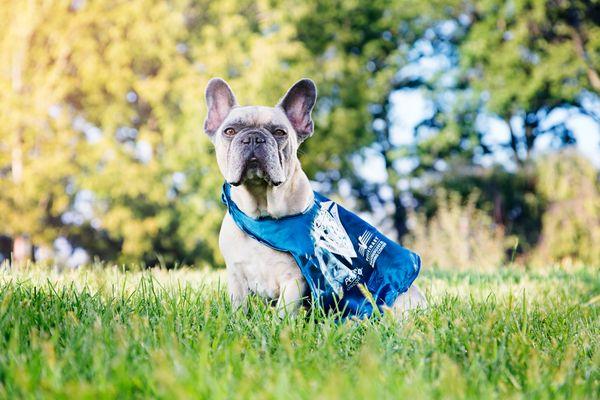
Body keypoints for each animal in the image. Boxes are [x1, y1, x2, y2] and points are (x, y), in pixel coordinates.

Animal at [204, 77, 424, 316]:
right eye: (230, 131)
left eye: (280, 132)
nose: (253, 137)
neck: (261, 215)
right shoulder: (236, 278)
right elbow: (239, 308)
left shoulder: (293, 280)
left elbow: (283, 313)